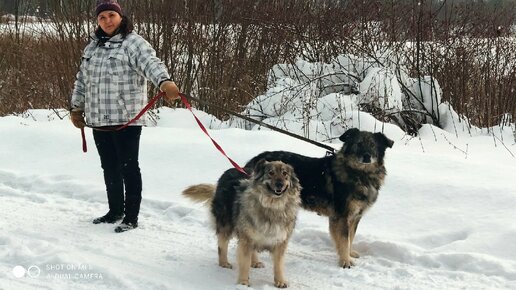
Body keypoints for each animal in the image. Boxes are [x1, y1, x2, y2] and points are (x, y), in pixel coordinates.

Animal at [182, 160, 300, 288]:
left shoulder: (280, 241)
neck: (273, 205)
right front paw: (243, 282)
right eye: (271, 173)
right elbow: (244, 262)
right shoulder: (246, 239)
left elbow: (278, 264)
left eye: (285, 174)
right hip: (226, 223)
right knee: (222, 244)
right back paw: (224, 263)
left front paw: (280, 281)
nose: (280, 184)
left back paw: (255, 261)